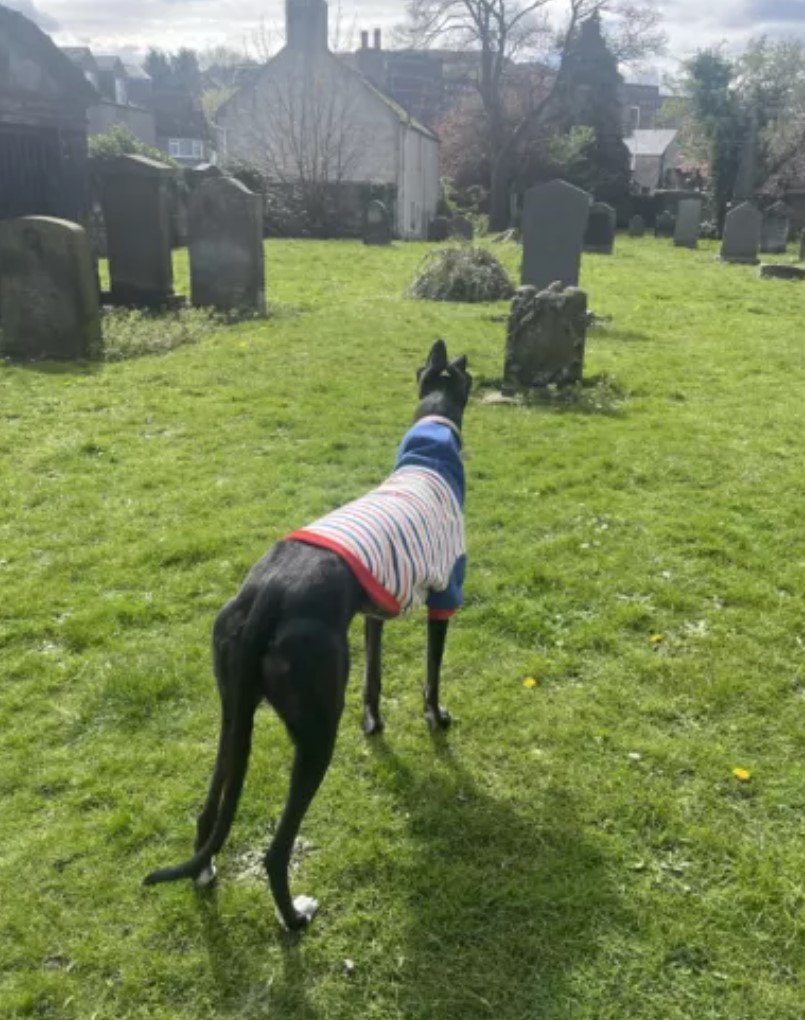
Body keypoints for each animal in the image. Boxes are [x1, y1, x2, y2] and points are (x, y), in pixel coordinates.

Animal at [144, 342, 471, 934]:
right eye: (468, 373)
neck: (428, 451)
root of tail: (266, 595)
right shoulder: (445, 592)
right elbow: (433, 674)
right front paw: (436, 718)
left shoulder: (376, 611)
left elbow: (373, 675)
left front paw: (375, 724)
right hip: (316, 726)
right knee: (276, 850)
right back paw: (294, 917)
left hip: (234, 709)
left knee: (209, 808)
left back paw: (205, 874)